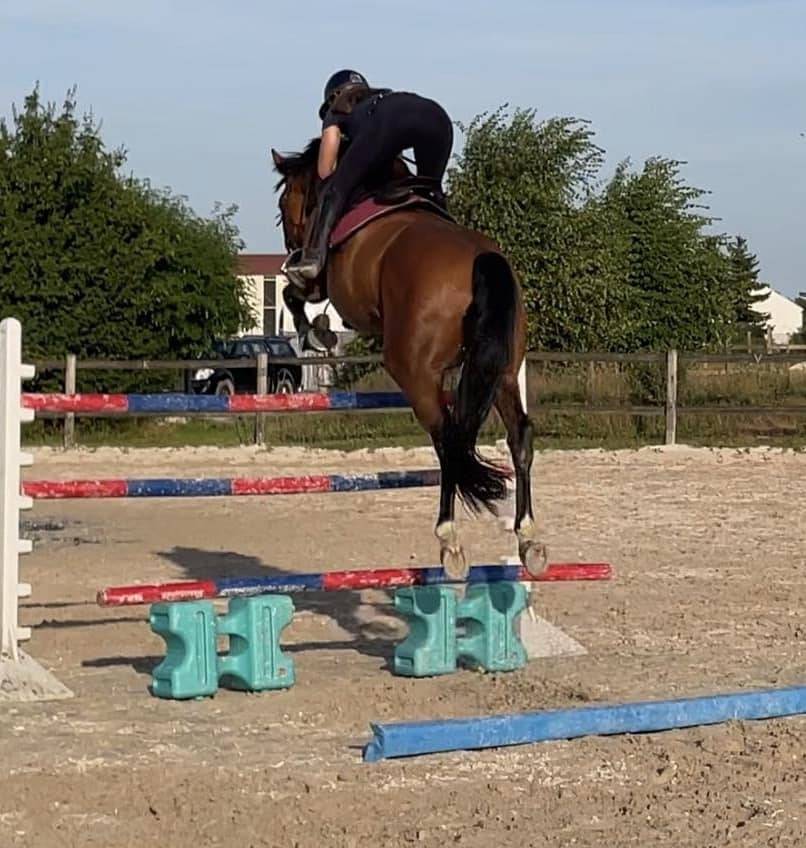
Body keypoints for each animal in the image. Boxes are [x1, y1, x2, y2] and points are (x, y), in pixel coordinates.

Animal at [271, 140, 546, 577]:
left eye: (285, 203)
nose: (291, 246)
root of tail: (480, 260)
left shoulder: (322, 283)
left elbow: (294, 293)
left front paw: (311, 332)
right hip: (500, 372)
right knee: (518, 437)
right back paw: (528, 539)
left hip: (415, 373)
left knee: (448, 439)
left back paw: (450, 540)